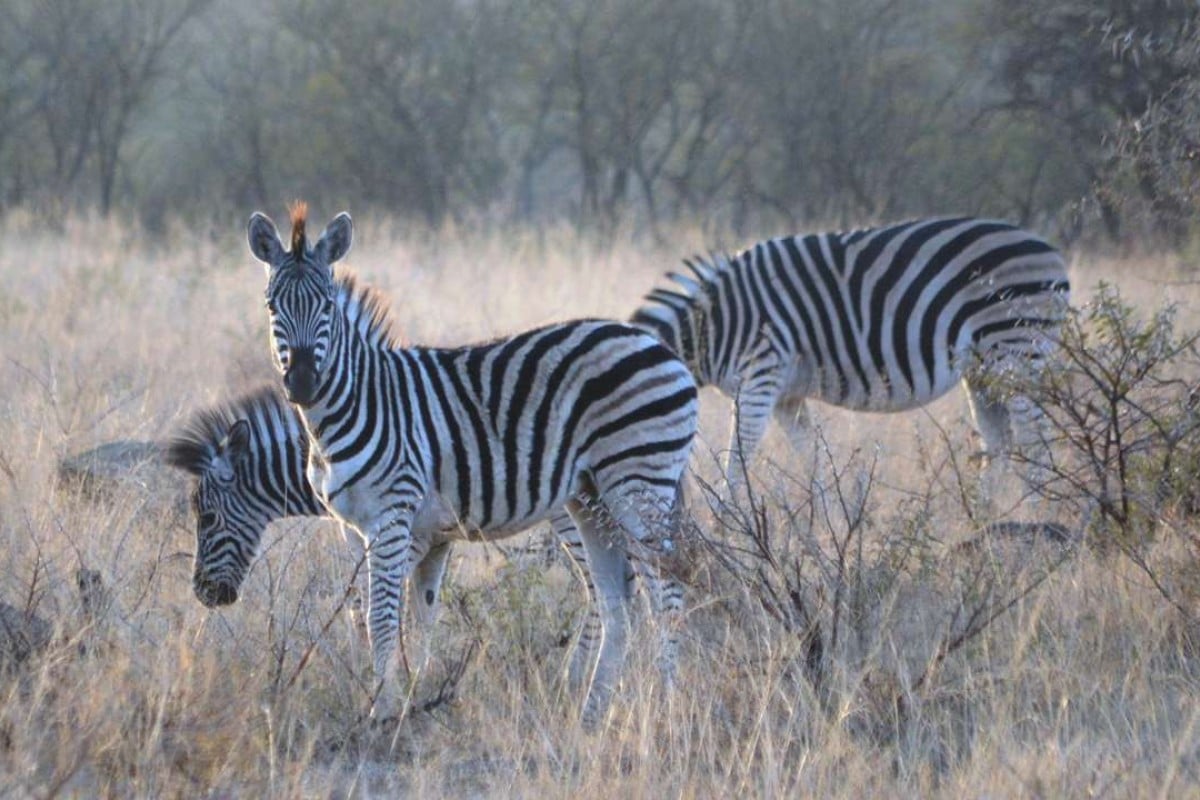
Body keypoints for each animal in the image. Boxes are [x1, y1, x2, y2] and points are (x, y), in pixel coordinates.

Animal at [170, 383, 643, 681]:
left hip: (574, 516)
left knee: (602, 594)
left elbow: (366, 604)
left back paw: (577, 678)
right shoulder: (435, 538)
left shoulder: (390, 535)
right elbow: (422, 610)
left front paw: (378, 675)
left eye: (206, 518)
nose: (203, 593)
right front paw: (419, 676)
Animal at [248, 205, 700, 724]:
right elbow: (384, 614)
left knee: (667, 592)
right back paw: (591, 715)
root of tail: (660, 348)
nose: (302, 383)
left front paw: (384, 711)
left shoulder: (393, 516)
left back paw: (669, 706)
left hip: (638, 481)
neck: (359, 400)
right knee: (616, 602)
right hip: (591, 496)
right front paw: (405, 697)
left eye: (326, 305)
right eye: (271, 307)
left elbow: (382, 615)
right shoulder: (361, 528)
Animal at [633, 215, 1075, 496]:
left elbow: (736, 465)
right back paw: (987, 522)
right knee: (999, 445)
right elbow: (812, 461)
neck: (713, 327)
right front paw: (826, 530)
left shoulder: (760, 376)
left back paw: (1035, 509)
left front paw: (731, 529)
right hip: (983, 370)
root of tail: (1051, 251)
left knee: (1036, 439)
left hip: (1016, 348)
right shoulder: (787, 395)